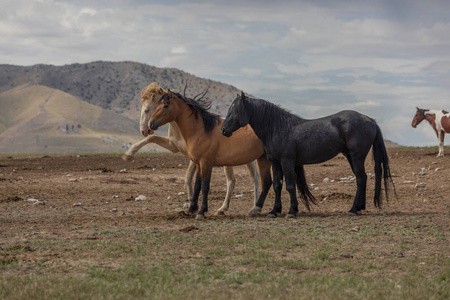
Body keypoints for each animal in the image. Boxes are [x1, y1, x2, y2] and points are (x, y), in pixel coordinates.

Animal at [221, 92, 394, 217]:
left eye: (234, 109)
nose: (223, 130)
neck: (278, 128)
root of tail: (370, 120)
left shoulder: (287, 162)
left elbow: (290, 186)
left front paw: (292, 211)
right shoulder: (276, 163)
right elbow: (277, 186)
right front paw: (274, 211)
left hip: (357, 157)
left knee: (360, 179)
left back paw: (353, 210)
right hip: (351, 157)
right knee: (362, 178)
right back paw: (358, 208)